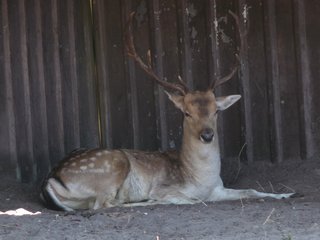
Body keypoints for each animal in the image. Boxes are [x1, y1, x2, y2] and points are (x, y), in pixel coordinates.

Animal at [40, 11, 296, 210]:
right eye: (187, 113)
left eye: (216, 111)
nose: (207, 135)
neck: (200, 179)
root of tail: (50, 179)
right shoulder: (168, 188)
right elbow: (194, 200)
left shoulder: (219, 189)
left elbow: (252, 191)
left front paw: (288, 193)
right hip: (112, 165)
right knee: (104, 204)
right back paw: (145, 202)